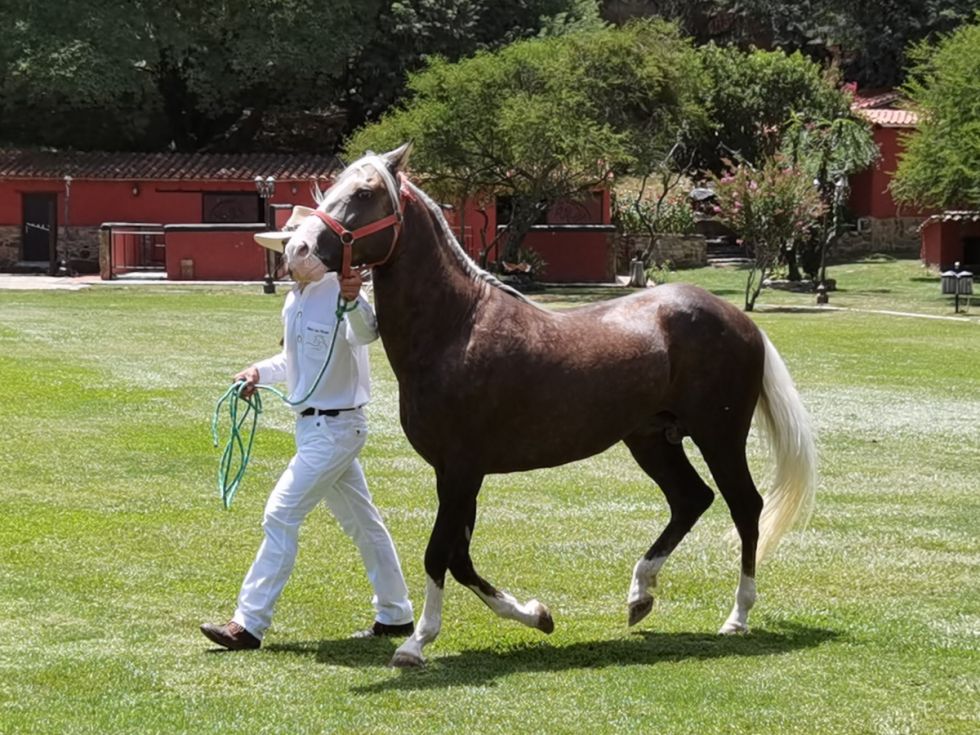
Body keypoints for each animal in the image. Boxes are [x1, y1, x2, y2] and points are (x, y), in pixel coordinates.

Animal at [280, 143, 817, 667]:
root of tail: (740, 321)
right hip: (652, 439)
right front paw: (536, 614)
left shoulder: (461, 469)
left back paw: (737, 616)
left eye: (365, 193)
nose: (296, 251)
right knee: (691, 499)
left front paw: (416, 643)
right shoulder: (454, 473)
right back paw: (640, 596)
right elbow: (460, 557)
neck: (457, 328)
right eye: (330, 188)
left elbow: (439, 554)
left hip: (719, 436)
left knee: (745, 507)